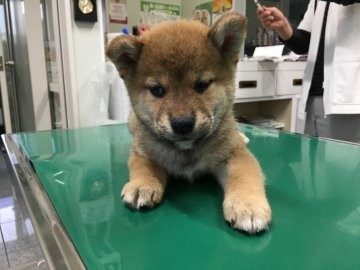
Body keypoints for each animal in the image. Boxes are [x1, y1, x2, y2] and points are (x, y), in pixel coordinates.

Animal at [108, 12, 272, 233]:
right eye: (157, 90)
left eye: (202, 85)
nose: (183, 123)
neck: (186, 152)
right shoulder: (143, 152)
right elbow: (143, 166)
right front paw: (142, 184)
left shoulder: (234, 154)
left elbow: (244, 176)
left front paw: (248, 205)